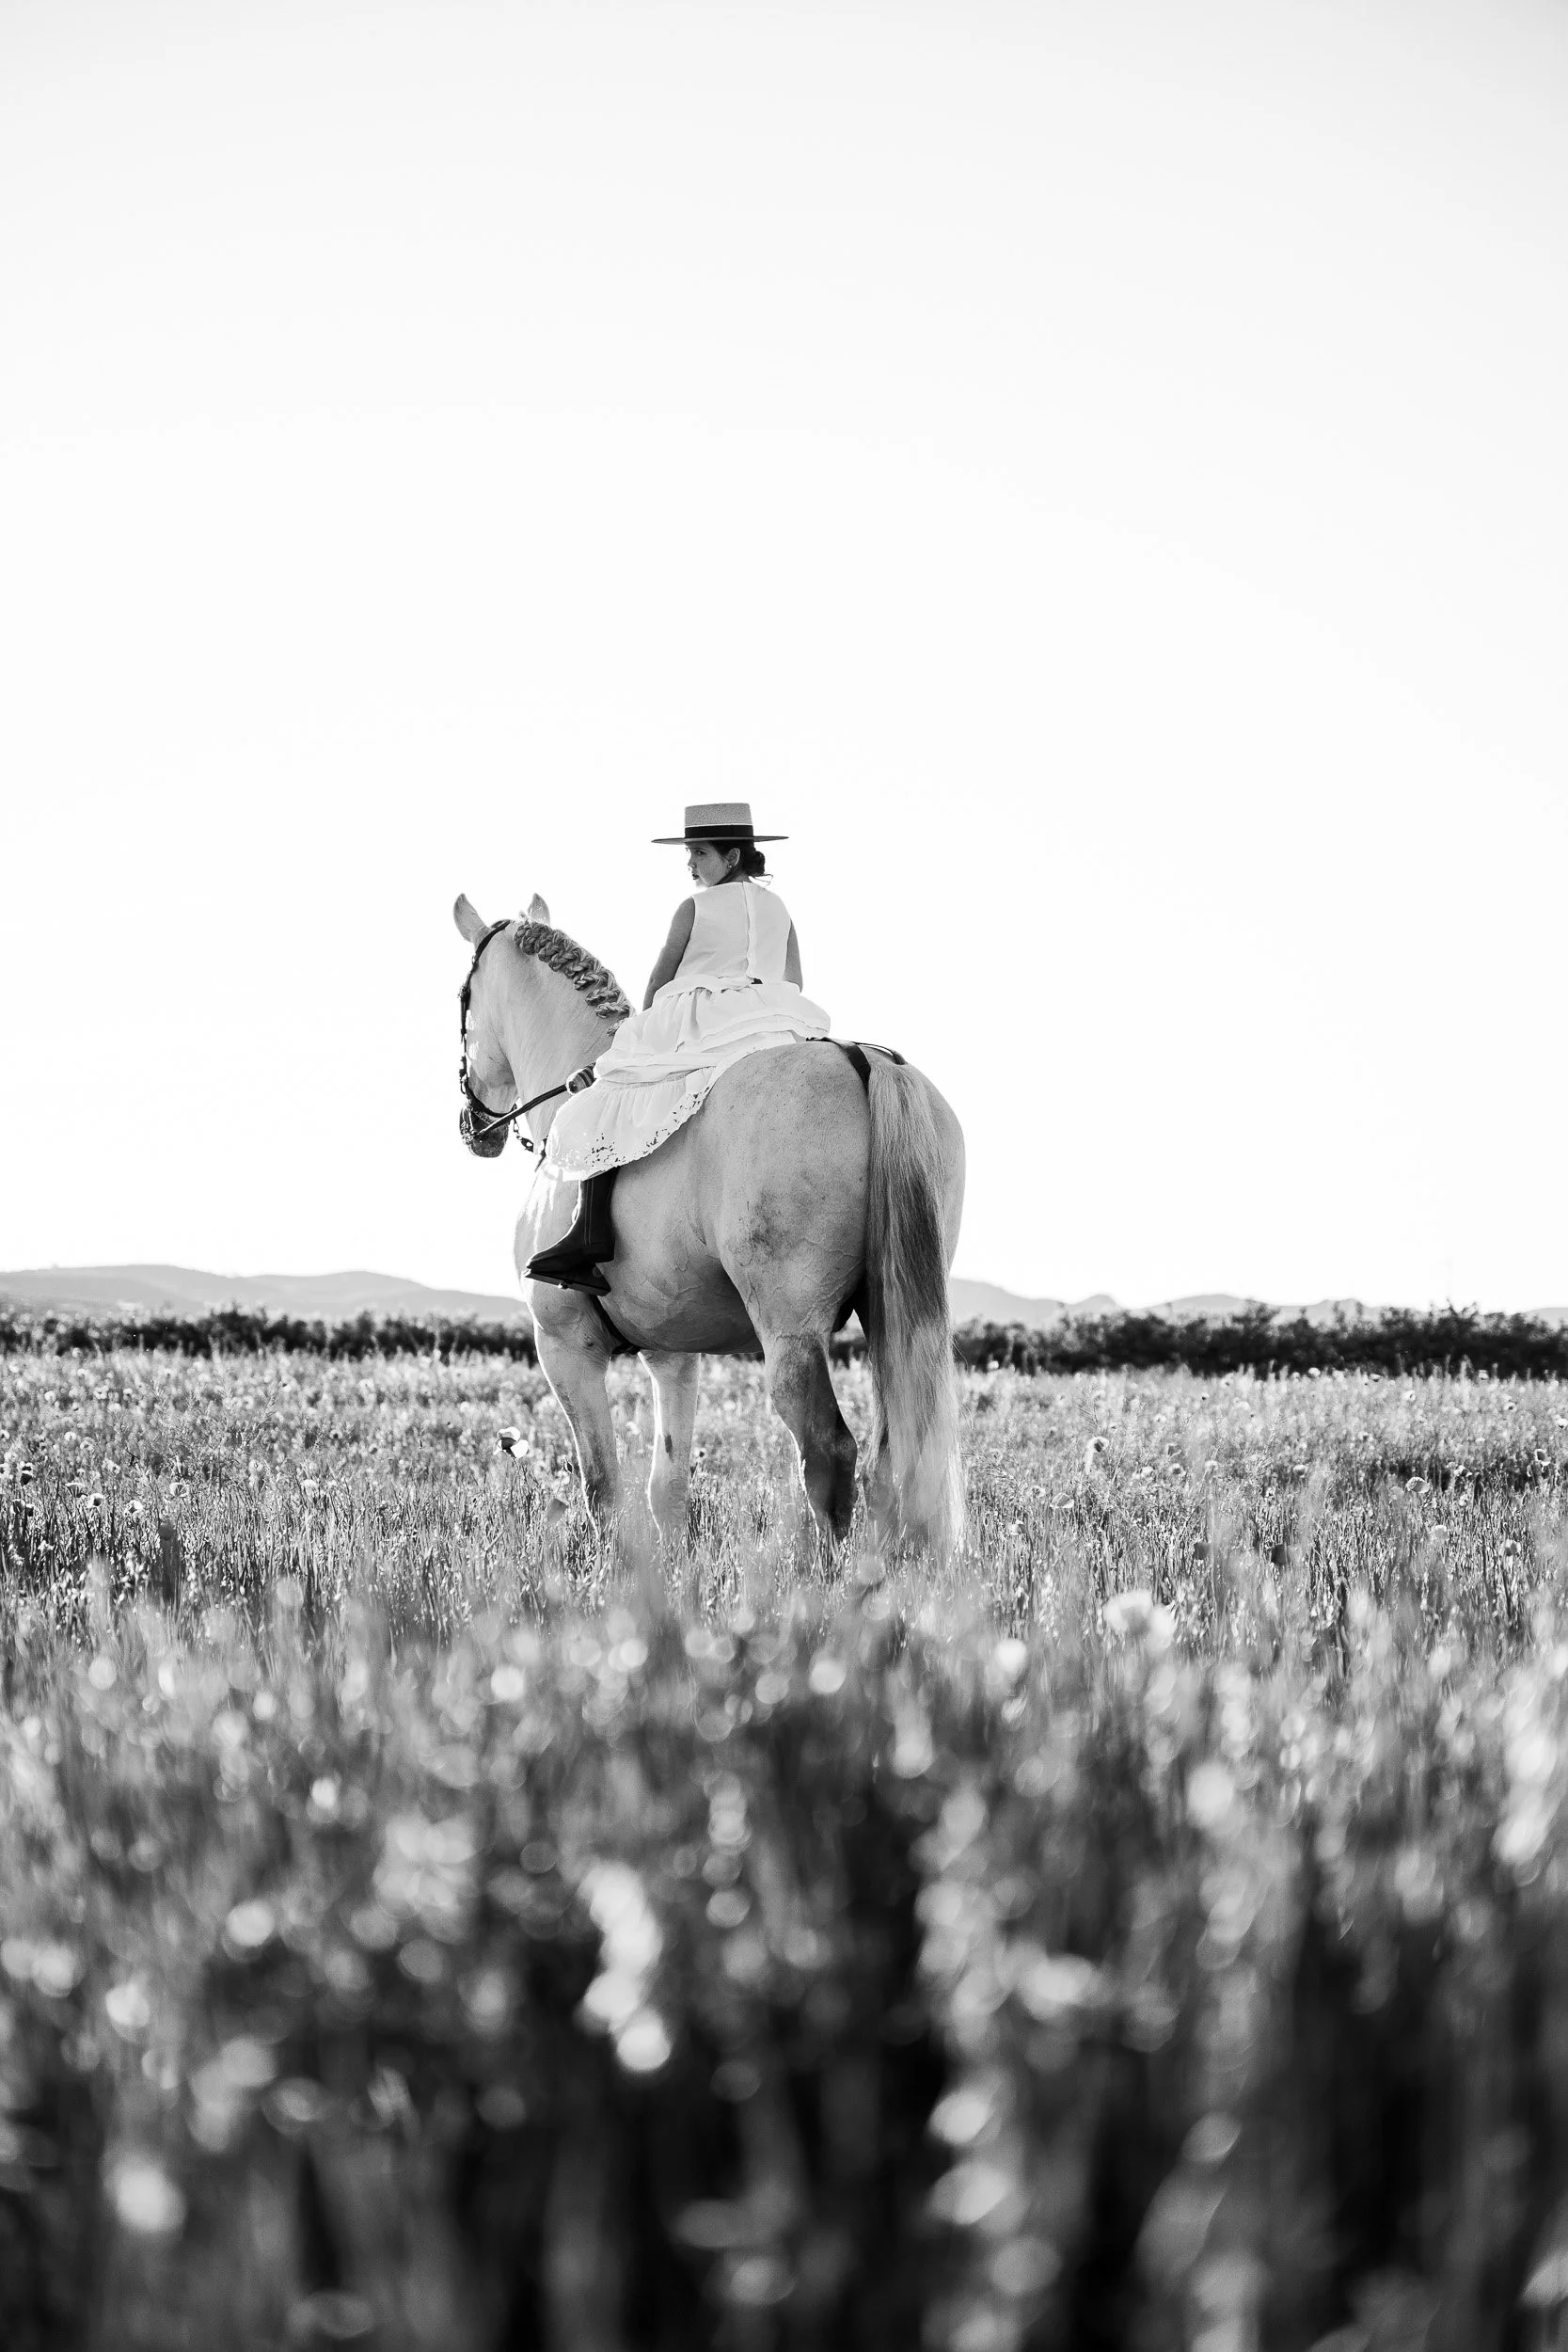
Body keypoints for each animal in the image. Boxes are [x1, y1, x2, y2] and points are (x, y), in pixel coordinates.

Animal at [452, 893, 966, 1554]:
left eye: (464, 1000)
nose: (474, 1126)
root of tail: (858, 1058)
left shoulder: (566, 1345)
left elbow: (602, 1487)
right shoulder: (672, 1355)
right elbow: (666, 1488)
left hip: (791, 1332)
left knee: (829, 1453)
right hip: (894, 1315)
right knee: (899, 1454)